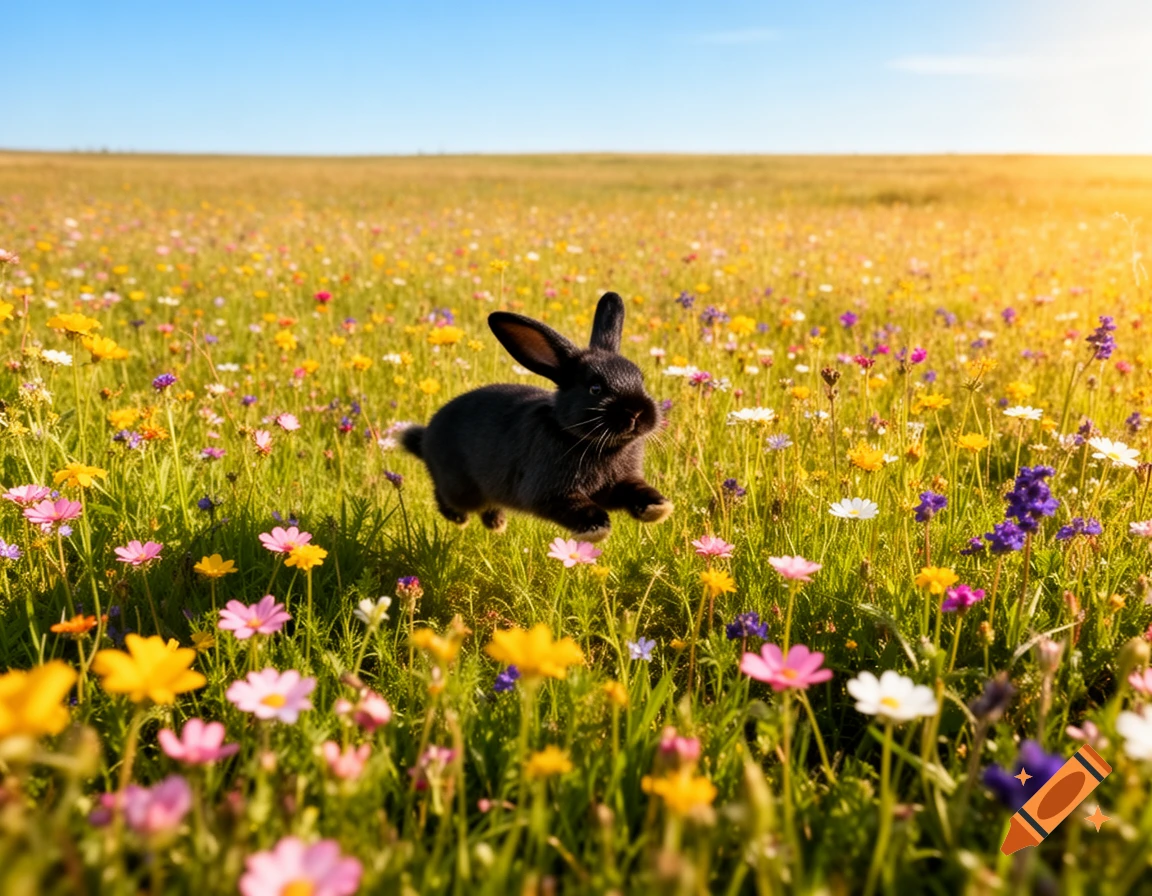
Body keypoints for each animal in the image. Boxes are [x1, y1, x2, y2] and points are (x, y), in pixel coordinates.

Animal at [400, 292, 672, 542]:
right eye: (595, 388)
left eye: (640, 379)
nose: (637, 412)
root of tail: (425, 437)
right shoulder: (549, 492)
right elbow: (576, 506)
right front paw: (596, 529)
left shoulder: (618, 484)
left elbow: (634, 490)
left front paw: (659, 508)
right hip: (459, 487)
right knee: (446, 497)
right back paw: (461, 519)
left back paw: (497, 523)